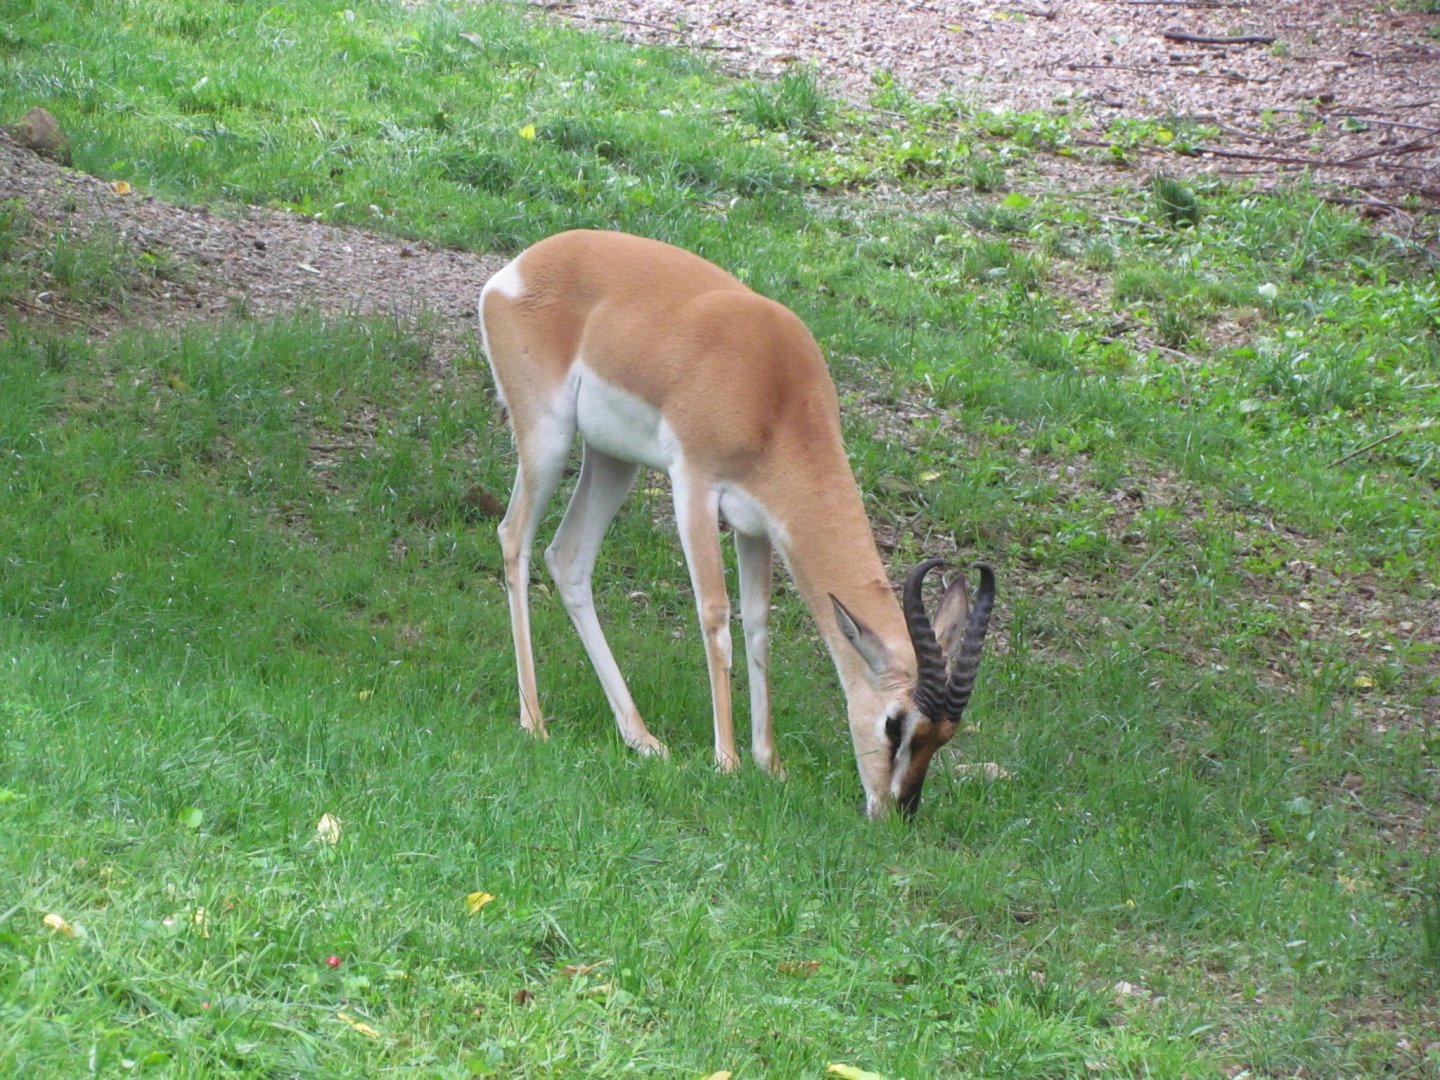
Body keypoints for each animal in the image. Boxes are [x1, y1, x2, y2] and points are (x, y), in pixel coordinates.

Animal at [478, 230, 995, 817]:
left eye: (945, 736)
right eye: (894, 724)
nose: (896, 811)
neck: (775, 394)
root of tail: (520, 266)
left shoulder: (757, 526)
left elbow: (760, 627)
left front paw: (769, 765)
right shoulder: (694, 486)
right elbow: (716, 615)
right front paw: (726, 761)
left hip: (613, 460)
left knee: (567, 560)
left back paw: (643, 739)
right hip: (548, 437)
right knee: (514, 538)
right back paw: (535, 722)